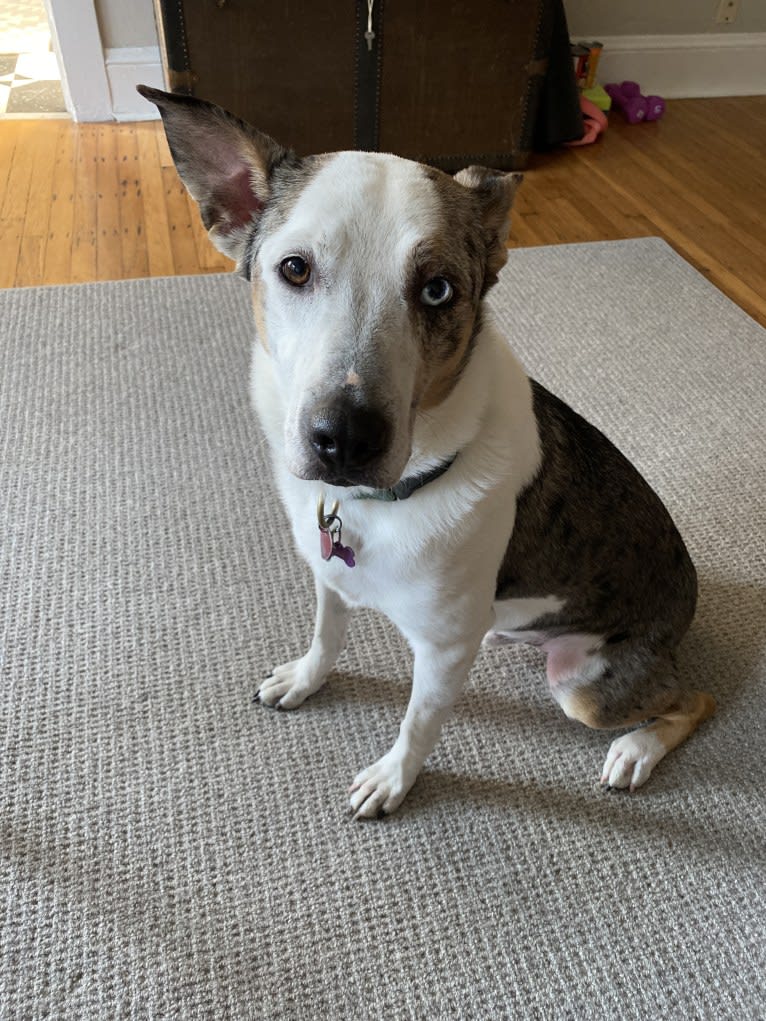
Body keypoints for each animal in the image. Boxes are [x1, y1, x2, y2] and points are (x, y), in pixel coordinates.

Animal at [139, 87, 719, 820]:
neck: (382, 500)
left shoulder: (442, 654)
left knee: (696, 698)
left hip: (584, 685)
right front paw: (305, 678)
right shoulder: (329, 577)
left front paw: (392, 779)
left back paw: (636, 750)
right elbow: (327, 635)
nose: (344, 438)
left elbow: (418, 722)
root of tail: (688, 597)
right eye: (294, 268)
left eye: (438, 288)